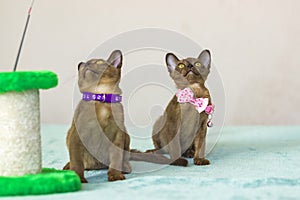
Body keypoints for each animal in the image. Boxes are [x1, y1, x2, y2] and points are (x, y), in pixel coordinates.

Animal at [63, 49, 176, 183]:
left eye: (99, 62)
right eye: (83, 66)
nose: (86, 64)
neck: (101, 97)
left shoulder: (117, 135)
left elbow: (116, 159)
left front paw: (115, 176)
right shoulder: (77, 135)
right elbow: (77, 162)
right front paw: (79, 179)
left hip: (126, 135)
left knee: (125, 157)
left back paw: (125, 168)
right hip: (69, 135)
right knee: (79, 162)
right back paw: (68, 167)